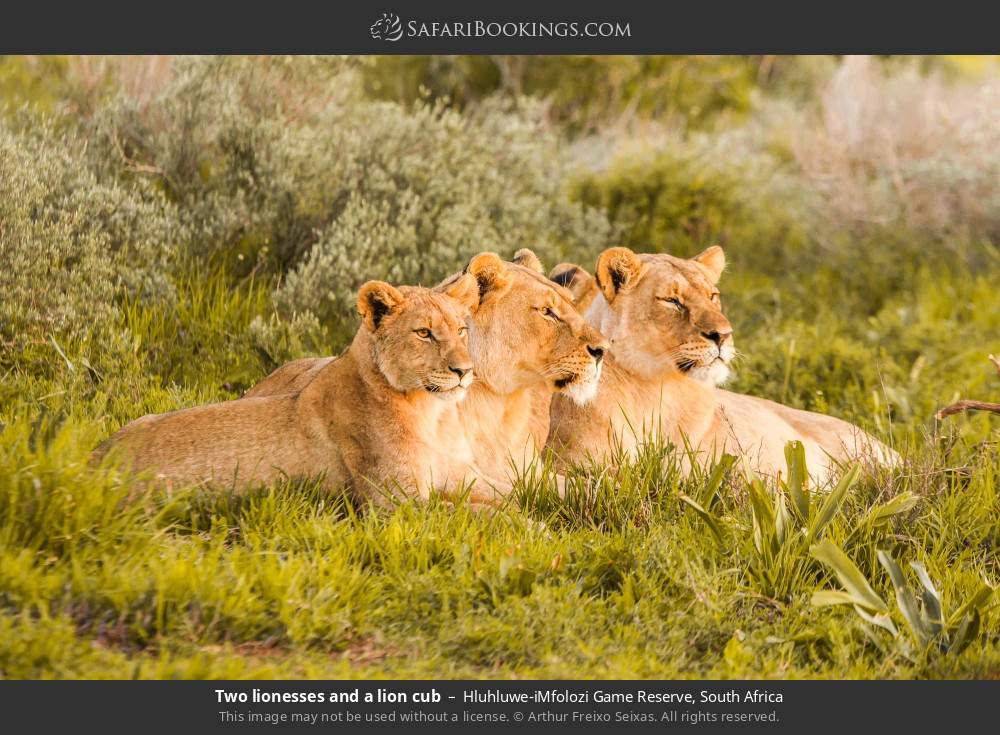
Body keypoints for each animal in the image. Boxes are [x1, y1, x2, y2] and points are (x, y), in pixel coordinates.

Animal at [96, 276, 510, 506]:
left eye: (461, 330)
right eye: (424, 333)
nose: (465, 371)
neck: (433, 413)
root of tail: (94, 461)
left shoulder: (457, 473)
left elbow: (510, 494)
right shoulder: (396, 503)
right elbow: (476, 517)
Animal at [247, 249, 609, 494]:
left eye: (570, 303)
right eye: (547, 312)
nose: (602, 350)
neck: (498, 405)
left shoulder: (526, 469)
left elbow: (585, 487)